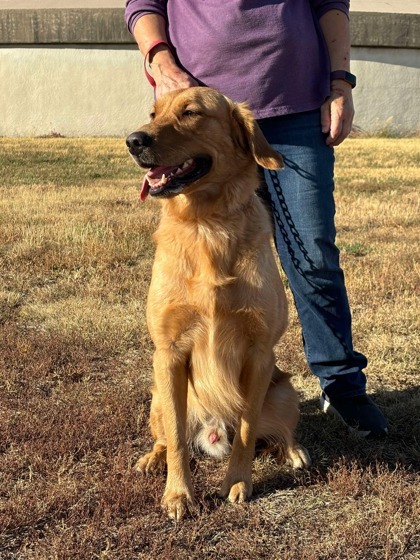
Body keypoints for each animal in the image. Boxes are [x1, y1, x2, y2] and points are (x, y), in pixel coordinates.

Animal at [126, 87, 310, 520]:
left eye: (191, 112)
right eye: (153, 114)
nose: (133, 140)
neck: (206, 224)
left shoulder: (259, 353)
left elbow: (246, 426)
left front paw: (238, 482)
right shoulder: (168, 353)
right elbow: (178, 437)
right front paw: (178, 494)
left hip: (284, 392)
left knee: (278, 432)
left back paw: (294, 452)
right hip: (157, 394)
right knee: (165, 437)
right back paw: (151, 459)